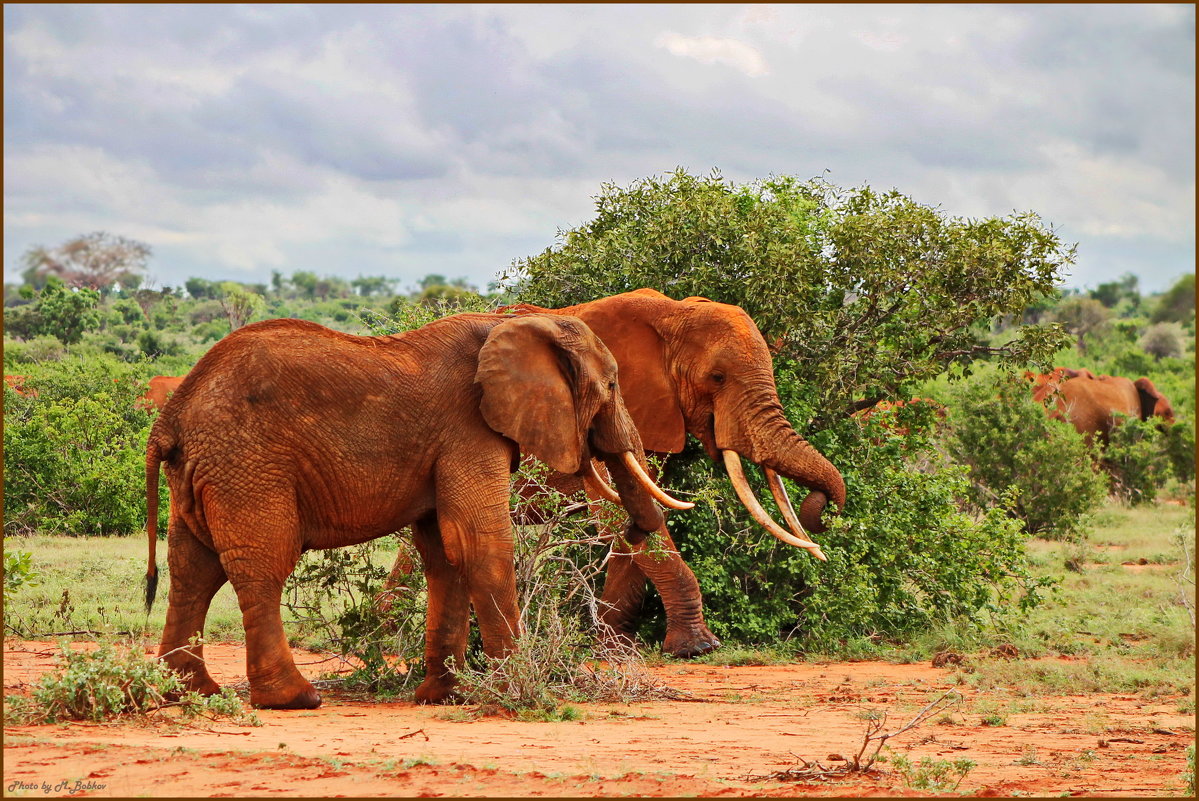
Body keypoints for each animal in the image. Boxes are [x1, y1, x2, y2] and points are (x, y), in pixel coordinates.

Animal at [141, 311, 690, 705]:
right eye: (613, 386)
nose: (631, 534)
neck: (518, 324)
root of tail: (171, 416)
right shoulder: (468, 428)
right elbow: (479, 541)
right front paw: (512, 689)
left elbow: (444, 553)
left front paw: (446, 696)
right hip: (247, 464)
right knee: (262, 565)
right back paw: (293, 699)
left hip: (205, 469)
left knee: (192, 569)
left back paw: (187, 692)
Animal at [378, 287, 848, 657]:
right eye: (717, 377)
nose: (823, 511)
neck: (672, 316)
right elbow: (616, 511)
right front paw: (697, 647)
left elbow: (640, 511)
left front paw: (613, 645)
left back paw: (383, 634)